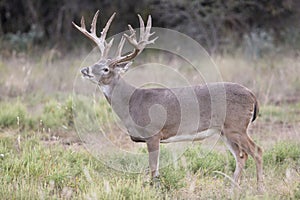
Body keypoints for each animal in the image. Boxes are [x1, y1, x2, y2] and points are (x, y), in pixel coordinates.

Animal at [74, 10, 264, 192]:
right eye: (96, 62)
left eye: (106, 69)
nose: (84, 70)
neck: (131, 102)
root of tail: (252, 95)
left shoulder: (153, 133)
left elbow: (153, 170)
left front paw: (155, 190)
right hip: (224, 131)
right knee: (241, 156)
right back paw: (233, 189)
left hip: (236, 126)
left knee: (257, 151)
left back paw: (259, 189)